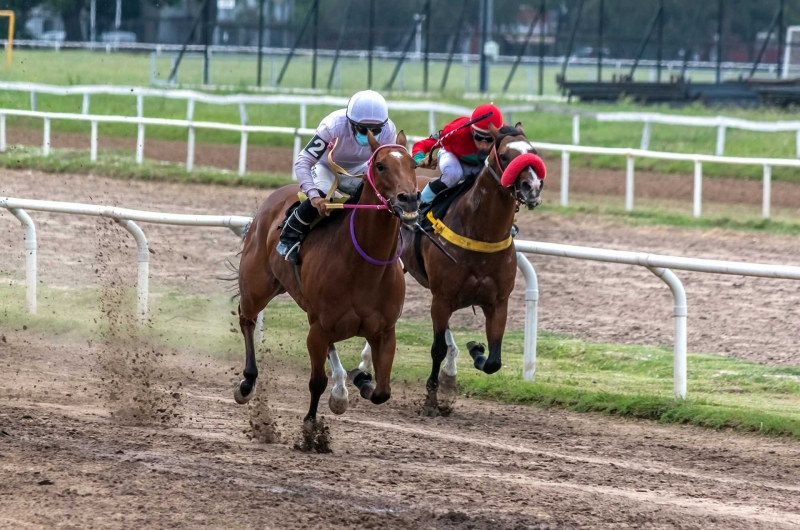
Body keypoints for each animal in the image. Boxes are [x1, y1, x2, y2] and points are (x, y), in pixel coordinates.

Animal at [234, 131, 422, 424]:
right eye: (380, 166)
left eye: (414, 165)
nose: (409, 199)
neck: (365, 269)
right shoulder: (318, 330)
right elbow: (316, 382)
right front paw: (311, 427)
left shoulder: (384, 331)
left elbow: (382, 391)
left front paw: (361, 381)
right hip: (257, 286)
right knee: (247, 318)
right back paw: (247, 383)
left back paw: (341, 389)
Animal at [356, 124, 544, 412]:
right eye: (504, 155)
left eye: (532, 151)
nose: (532, 187)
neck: (480, 232)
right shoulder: (442, 298)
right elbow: (437, 349)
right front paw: (432, 396)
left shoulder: (498, 301)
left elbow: (494, 359)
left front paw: (475, 350)